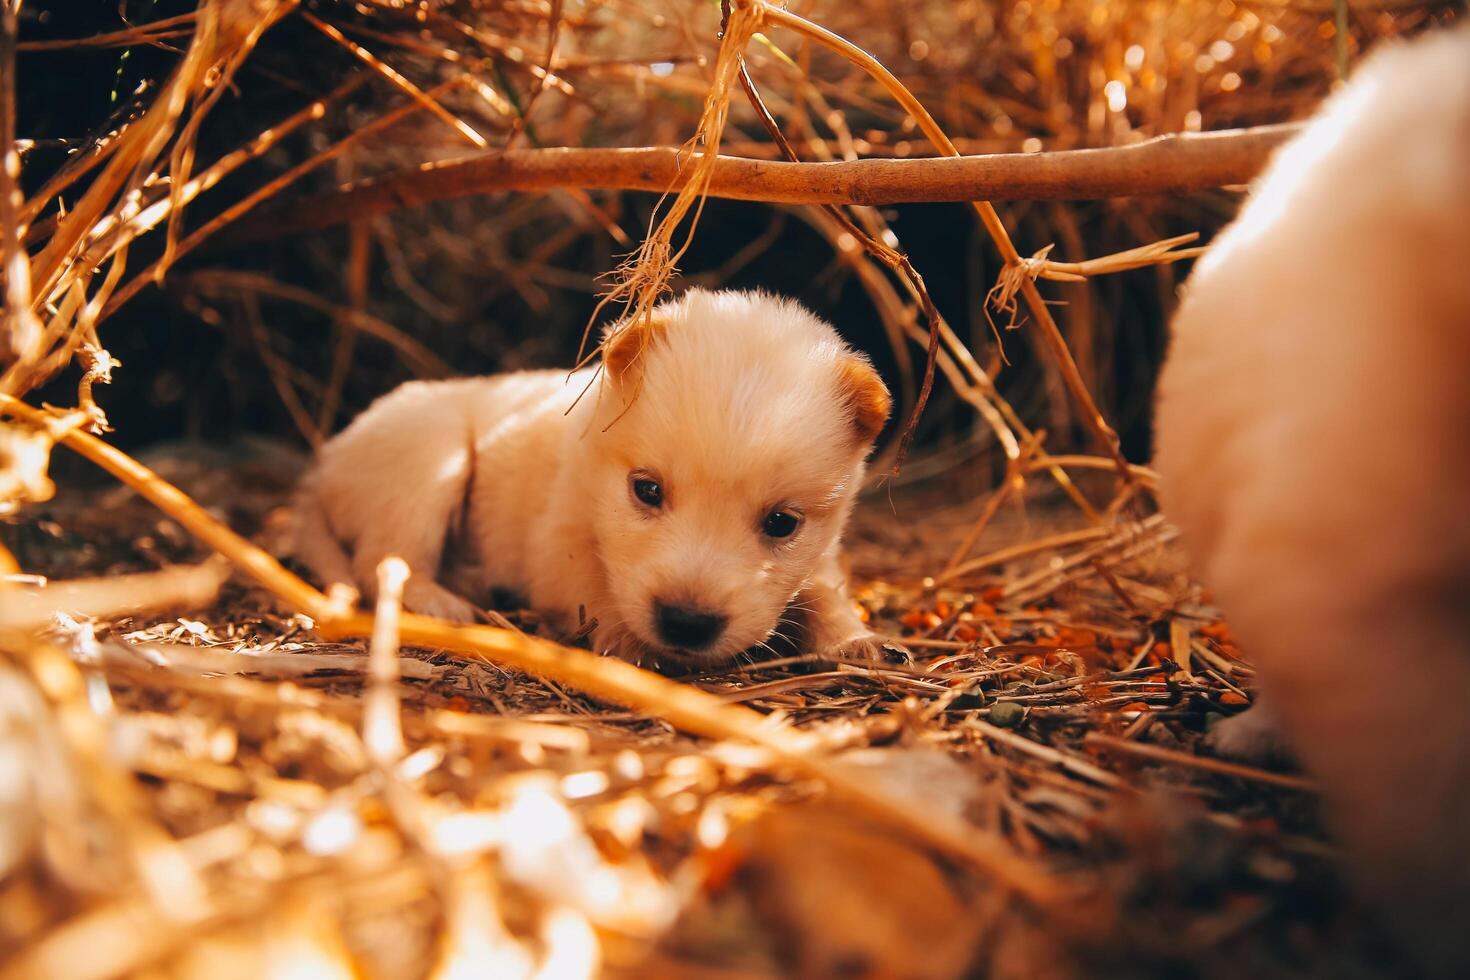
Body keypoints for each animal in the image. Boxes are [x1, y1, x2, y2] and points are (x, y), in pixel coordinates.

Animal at [286, 285, 882, 667]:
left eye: (782, 523)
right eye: (647, 490)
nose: (686, 622)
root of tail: (322, 466)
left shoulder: (823, 556)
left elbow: (825, 594)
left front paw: (854, 639)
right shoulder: (559, 546)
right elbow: (594, 590)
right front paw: (629, 642)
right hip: (432, 458)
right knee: (383, 558)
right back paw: (442, 601)